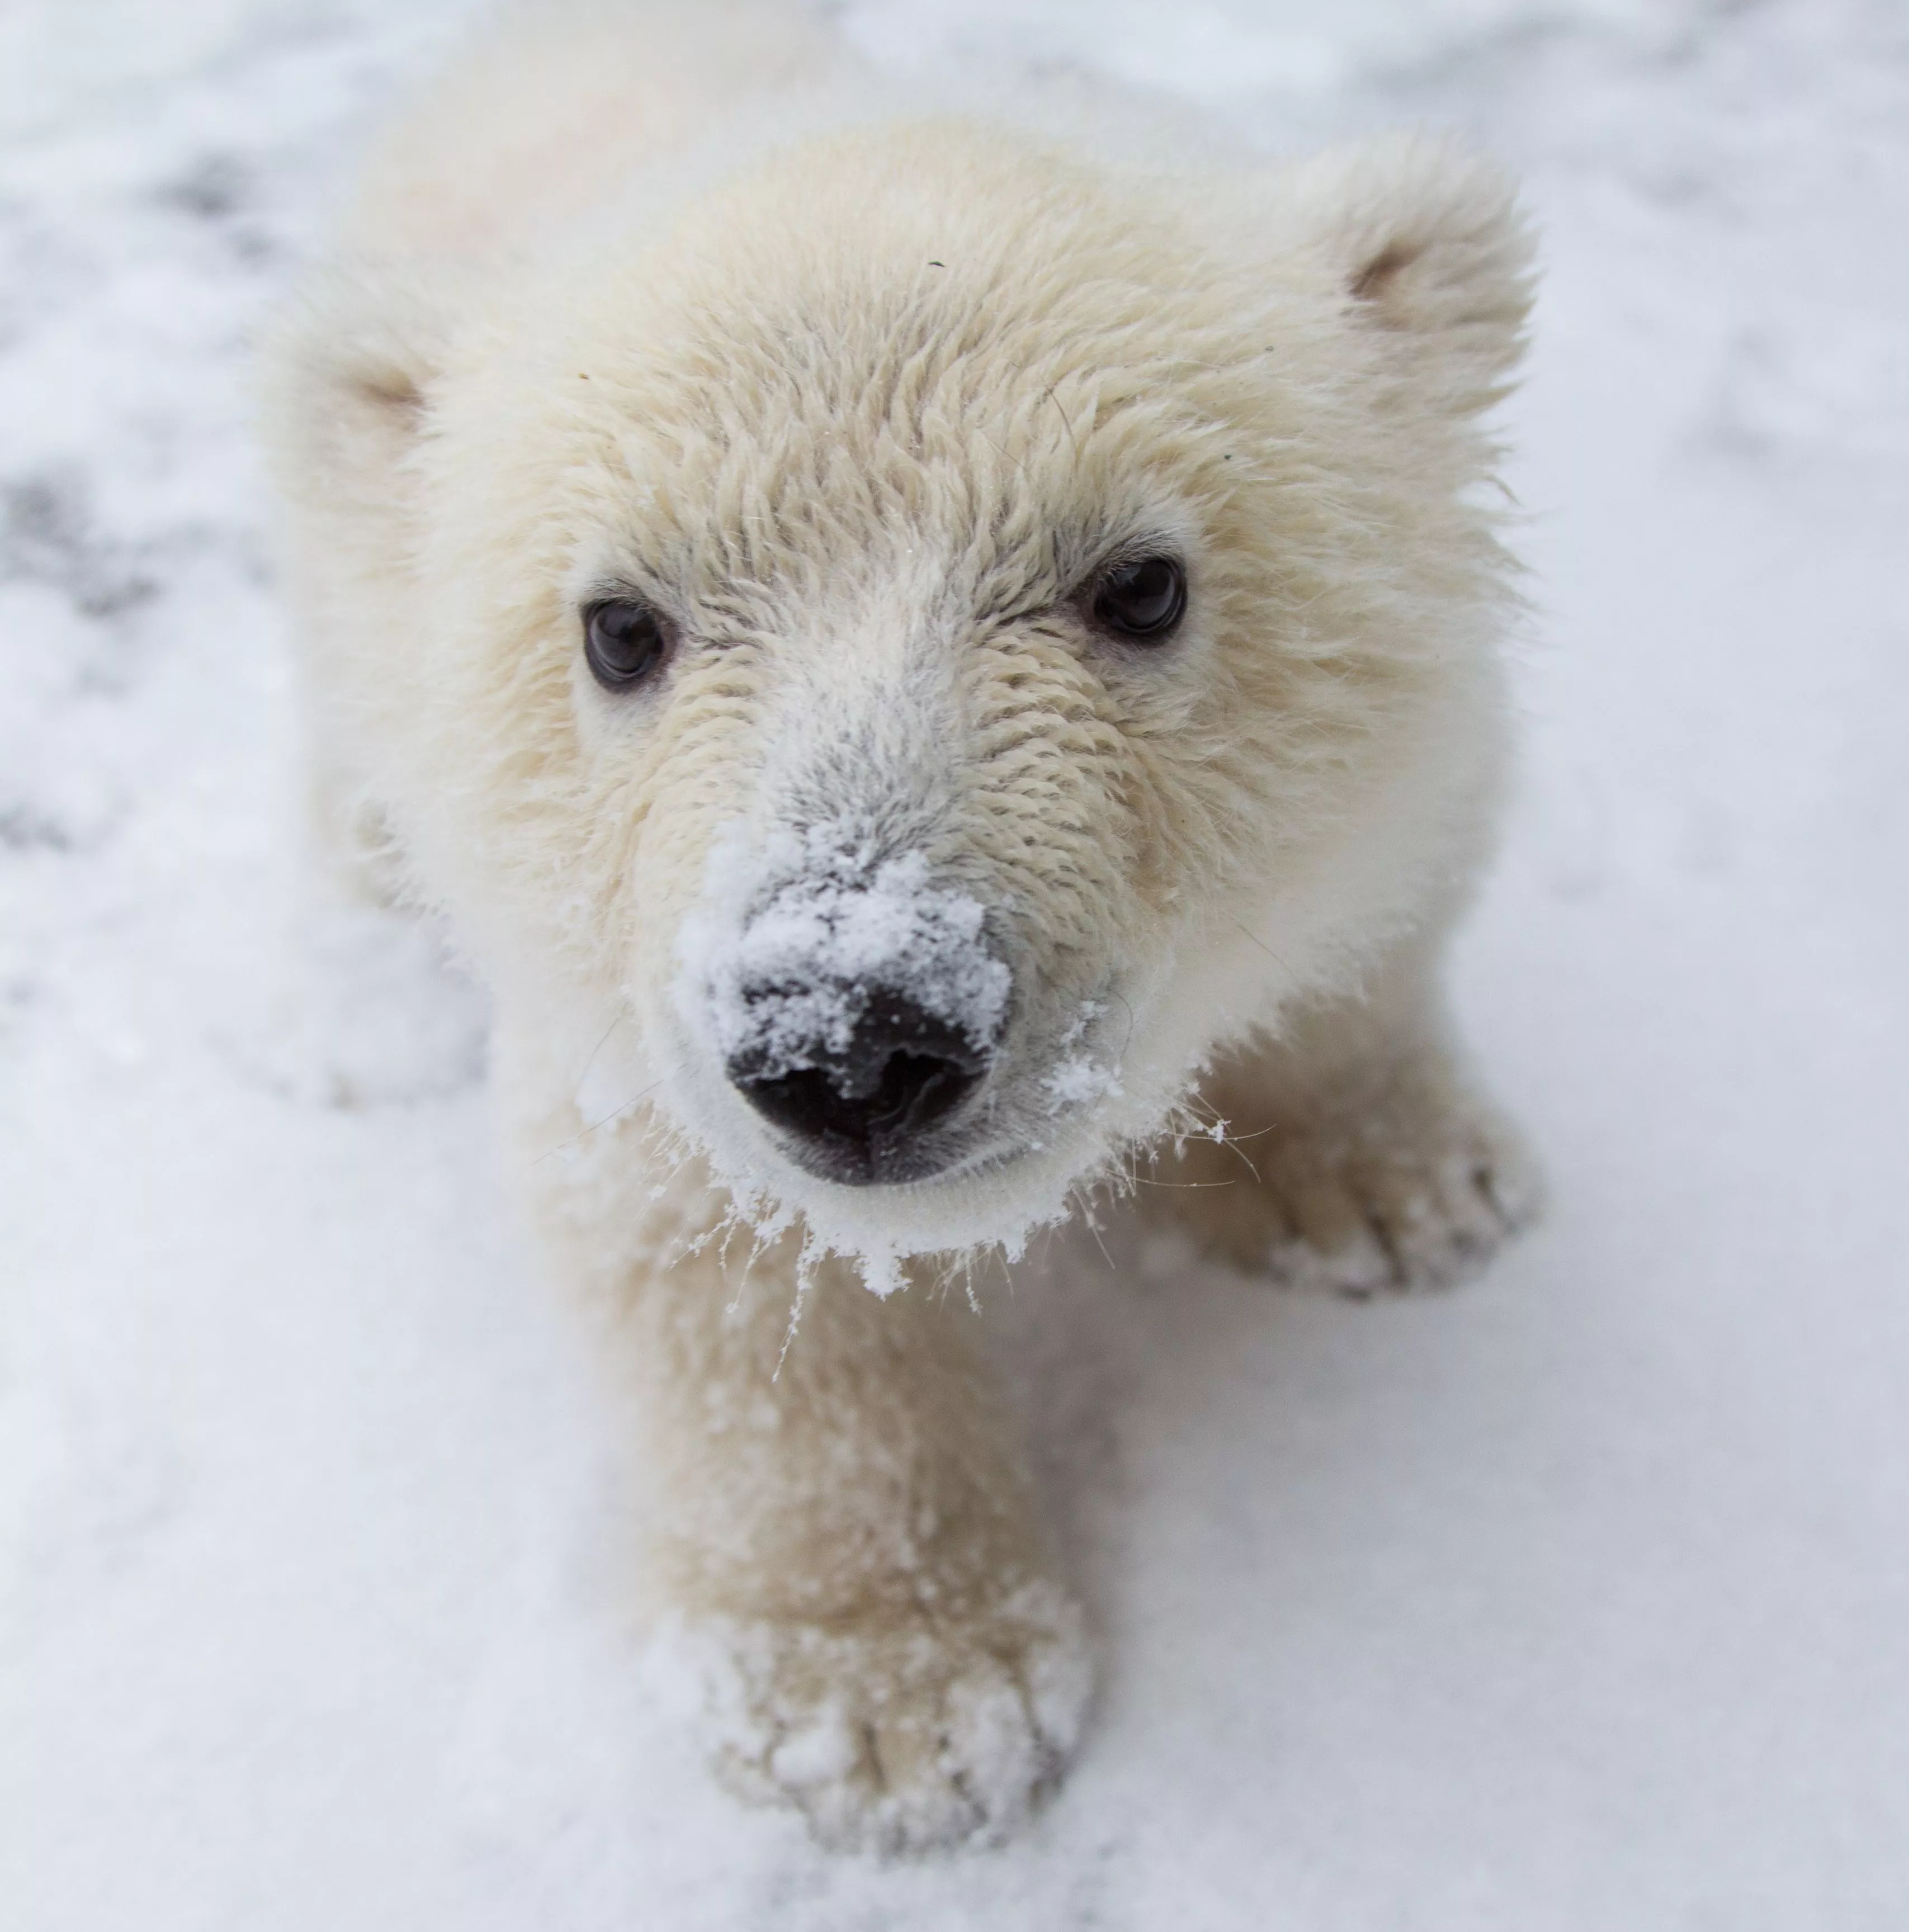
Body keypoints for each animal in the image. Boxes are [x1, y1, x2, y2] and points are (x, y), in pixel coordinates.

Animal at [261, 0, 1538, 1855]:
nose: (853, 1037)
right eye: (617, 627)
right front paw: (889, 1712)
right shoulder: (633, 1020)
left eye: (1140, 582)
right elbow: (725, 1272)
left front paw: (1397, 1195)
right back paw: (352, 1004)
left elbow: (1372, 914)